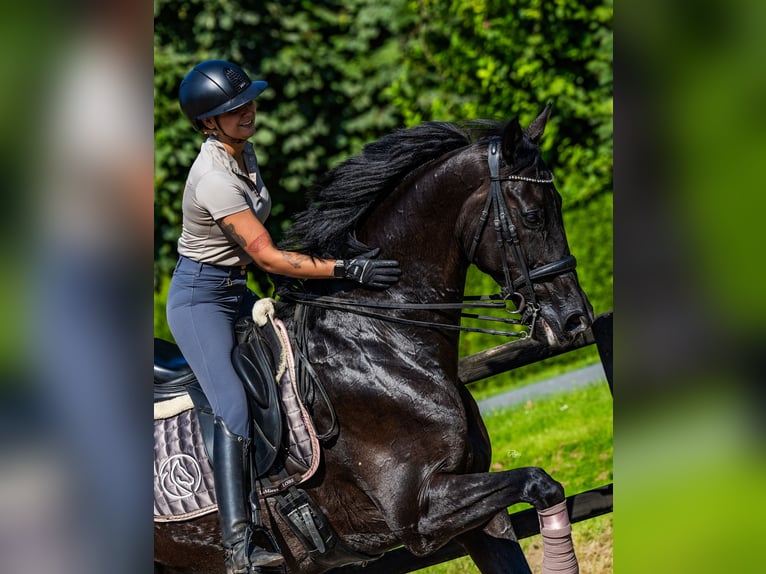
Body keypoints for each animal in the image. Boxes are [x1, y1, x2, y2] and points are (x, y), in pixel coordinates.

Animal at [154, 106, 592, 572]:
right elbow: (539, 482)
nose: (575, 319)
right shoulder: (420, 514)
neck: (381, 344)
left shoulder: (480, 518)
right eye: (533, 216)